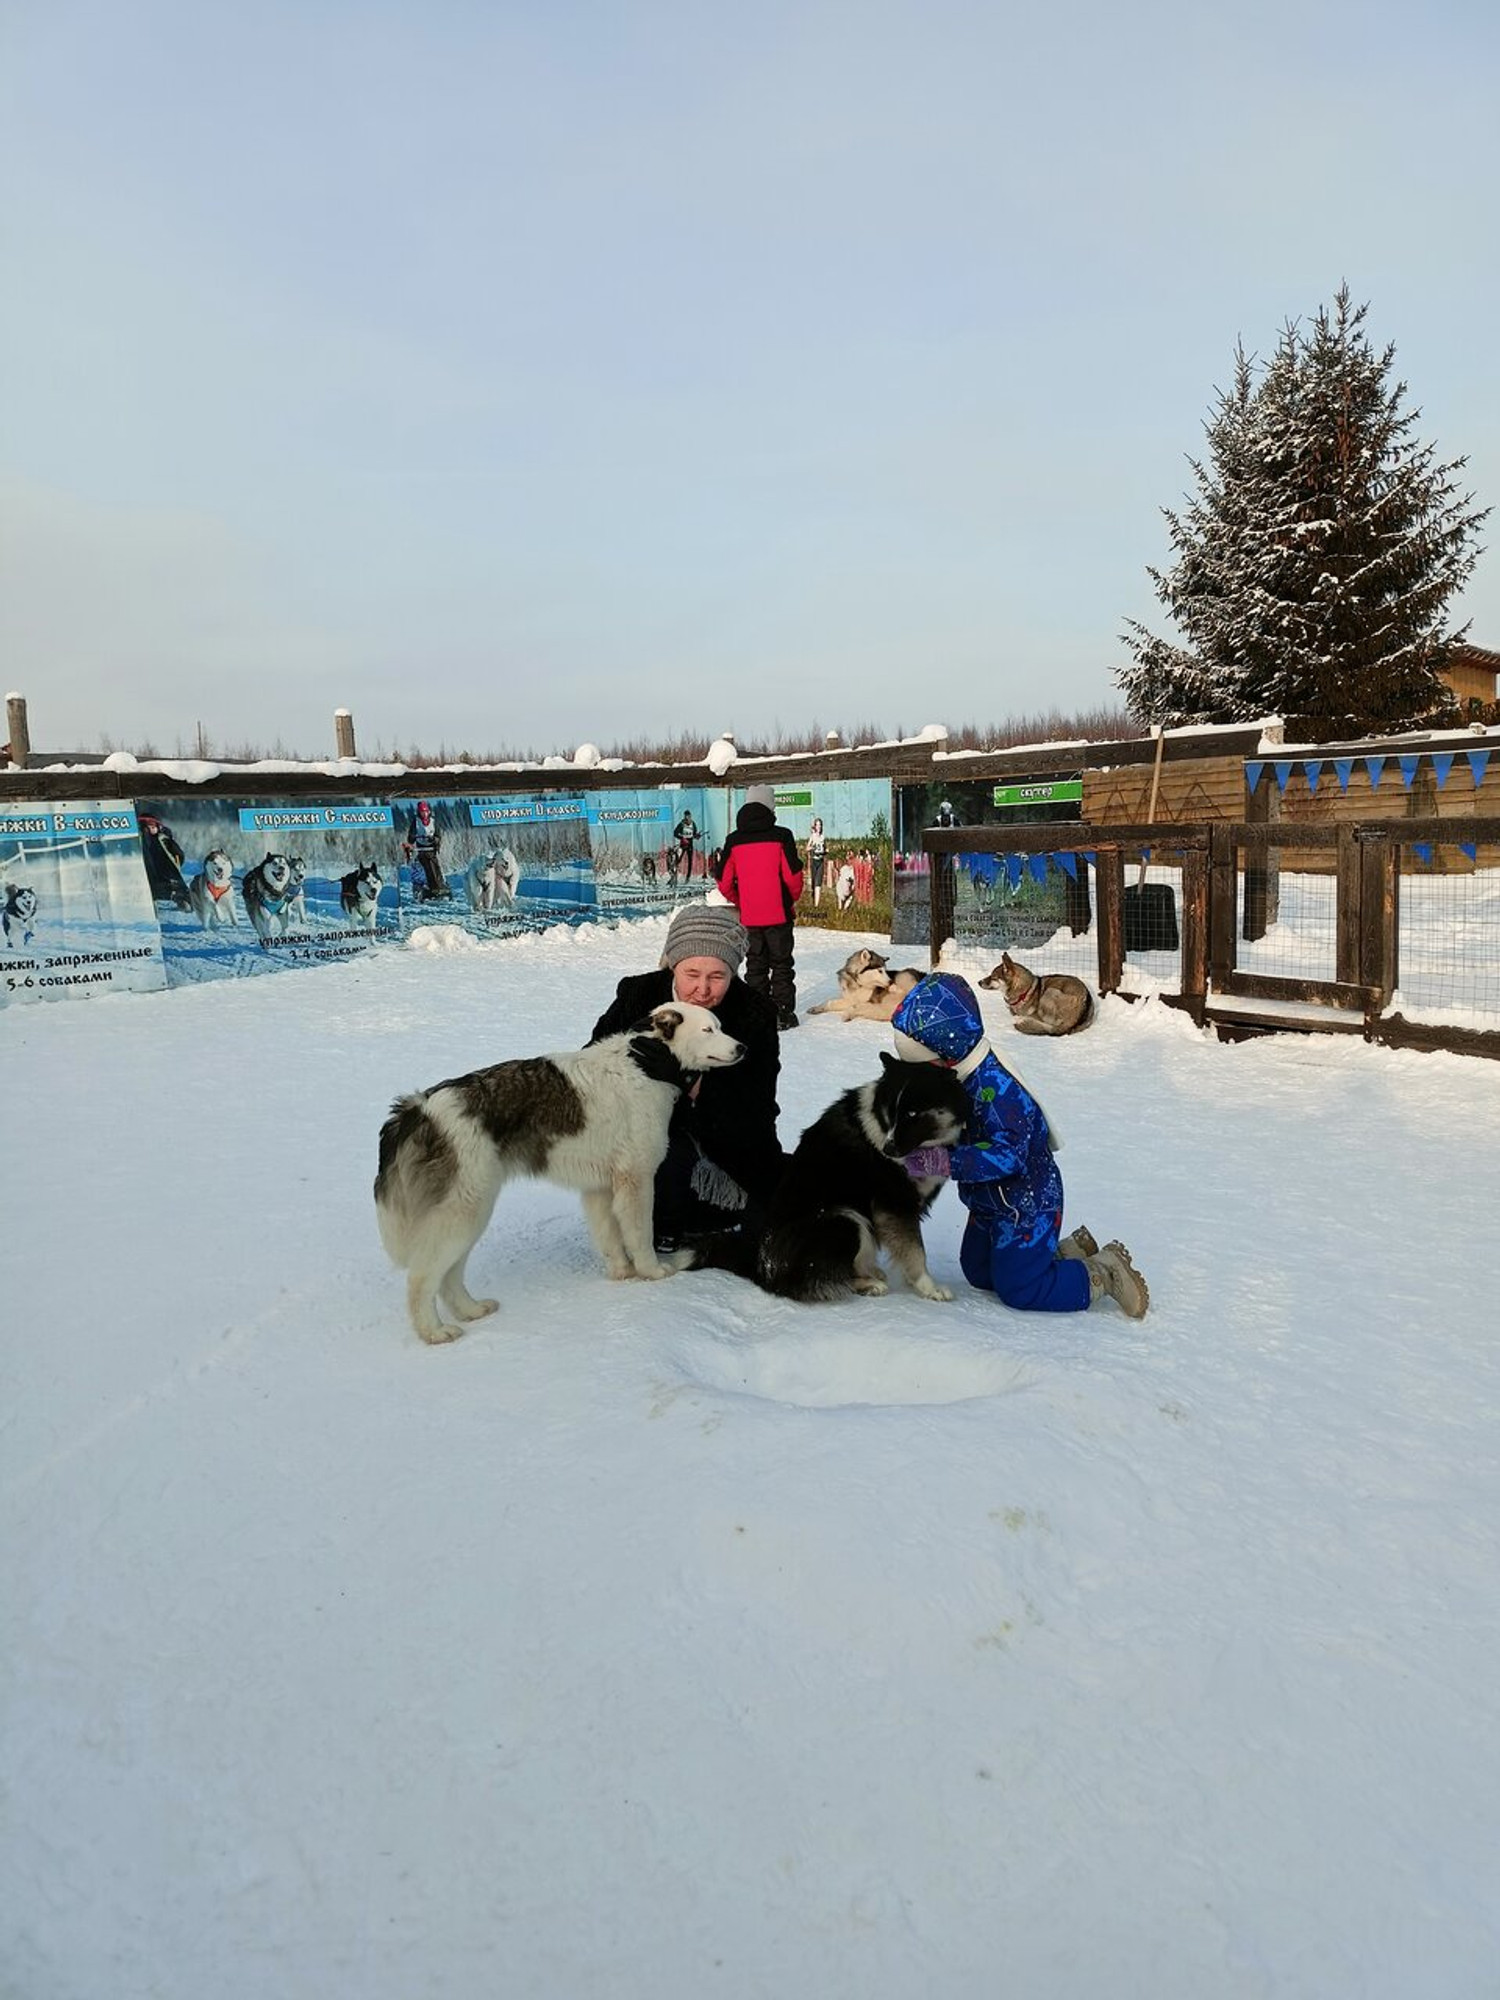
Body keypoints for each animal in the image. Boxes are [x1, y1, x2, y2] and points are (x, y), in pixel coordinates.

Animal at [376, 1000, 748, 1344]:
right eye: (708, 1030)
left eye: (720, 1026)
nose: (742, 1048)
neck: (642, 1069)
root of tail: (419, 1107)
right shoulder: (637, 1180)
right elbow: (640, 1235)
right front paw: (652, 1272)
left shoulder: (601, 1189)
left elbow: (611, 1239)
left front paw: (622, 1274)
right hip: (465, 1209)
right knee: (422, 1276)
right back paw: (433, 1331)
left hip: (467, 1211)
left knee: (448, 1274)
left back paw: (471, 1309)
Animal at [700, 1056, 968, 1304]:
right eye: (891, 1112)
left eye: (913, 1114)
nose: (888, 1150)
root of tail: (762, 1270)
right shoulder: (895, 1203)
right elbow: (915, 1251)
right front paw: (929, 1287)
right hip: (845, 1219)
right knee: (824, 1277)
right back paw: (868, 1284)